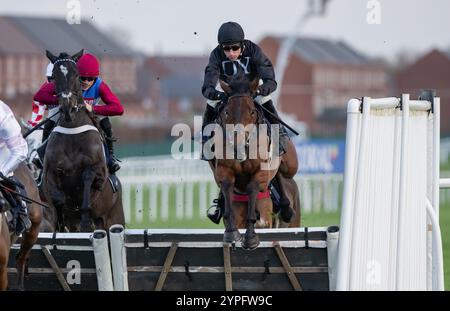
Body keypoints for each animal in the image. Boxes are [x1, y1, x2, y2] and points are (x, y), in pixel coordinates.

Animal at [41, 50, 124, 232]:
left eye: (77, 75)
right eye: (54, 76)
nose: (68, 109)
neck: (72, 129)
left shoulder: (97, 171)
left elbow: (87, 179)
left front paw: (86, 220)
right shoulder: (51, 173)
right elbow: (58, 200)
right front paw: (60, 222)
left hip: (114, 218)